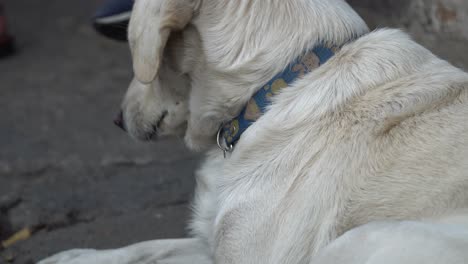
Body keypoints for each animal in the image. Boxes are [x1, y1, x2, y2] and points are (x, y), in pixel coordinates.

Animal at [40, 0, 468, 264]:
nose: (117, 118)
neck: (276, 87)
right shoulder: (218, 242)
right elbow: (151, 246)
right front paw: (75, 256)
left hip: (357, 240)